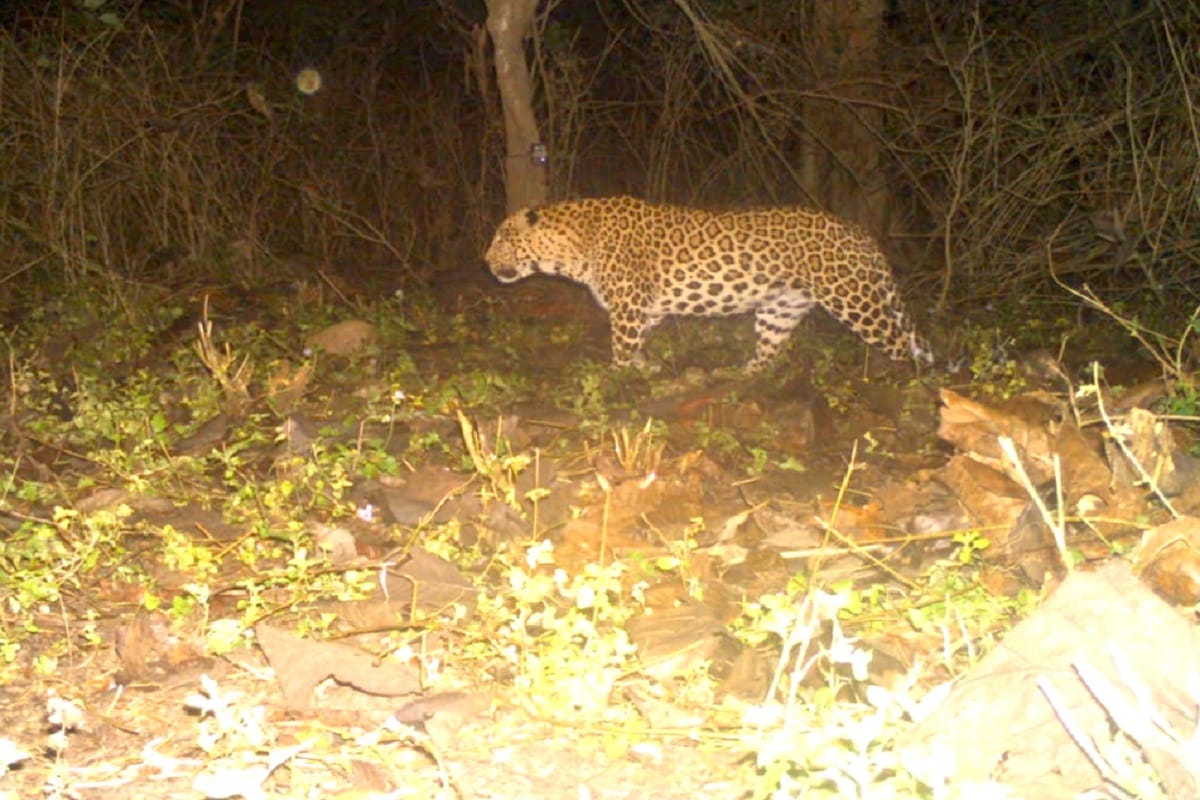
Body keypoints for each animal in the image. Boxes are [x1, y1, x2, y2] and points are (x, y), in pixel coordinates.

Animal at [485, 195, 933, 374]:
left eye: (502, 238)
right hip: (781, 307)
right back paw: (742, 375)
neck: (573, 248)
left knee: (899, 343)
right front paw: (647, 367)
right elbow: (639, 342)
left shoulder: (629, 306)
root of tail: (860, 234)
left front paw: (615, 378)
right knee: (769, 350)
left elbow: (621, 347)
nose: (485, 262)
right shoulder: (646, 308)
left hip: (854, 298)